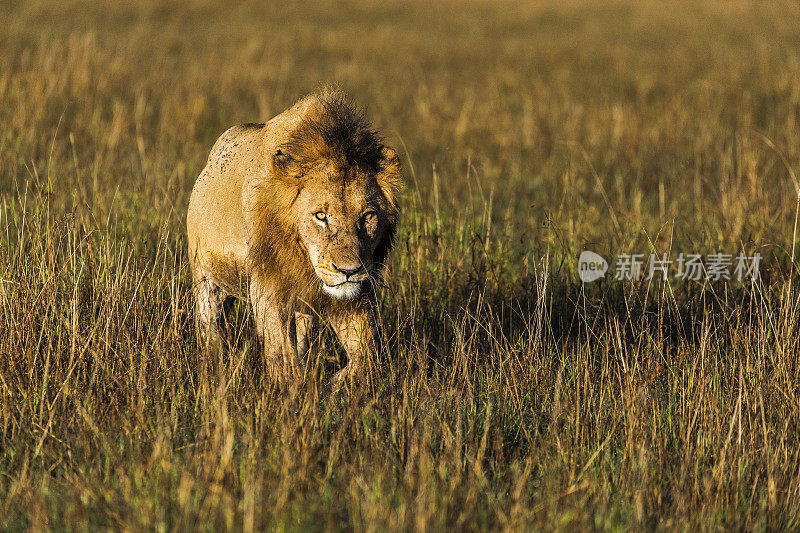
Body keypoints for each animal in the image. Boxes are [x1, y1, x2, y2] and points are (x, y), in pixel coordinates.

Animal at [186, 89, 400, 384]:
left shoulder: (358, 290)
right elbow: (280, 352)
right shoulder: (267, 284)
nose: (349, 270)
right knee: (211, 330)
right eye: (321, 215)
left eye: (368, 216)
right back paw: (214, 365)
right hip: (206, 280)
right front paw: (291, 388)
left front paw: (335, 381)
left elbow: (365, 354)